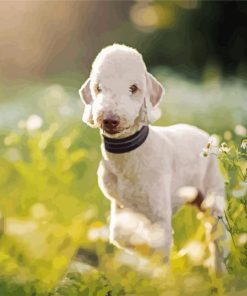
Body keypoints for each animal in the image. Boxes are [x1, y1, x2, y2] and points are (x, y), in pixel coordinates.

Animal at [79, 43, 226, 262]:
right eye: (98, 88)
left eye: (134, 88)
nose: (110, 120)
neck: (129, 155)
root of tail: (208, 137)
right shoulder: (119, 205)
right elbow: (120, 236)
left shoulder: (159, 214)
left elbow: (158, 247)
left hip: (213, 199)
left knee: (218, 240)